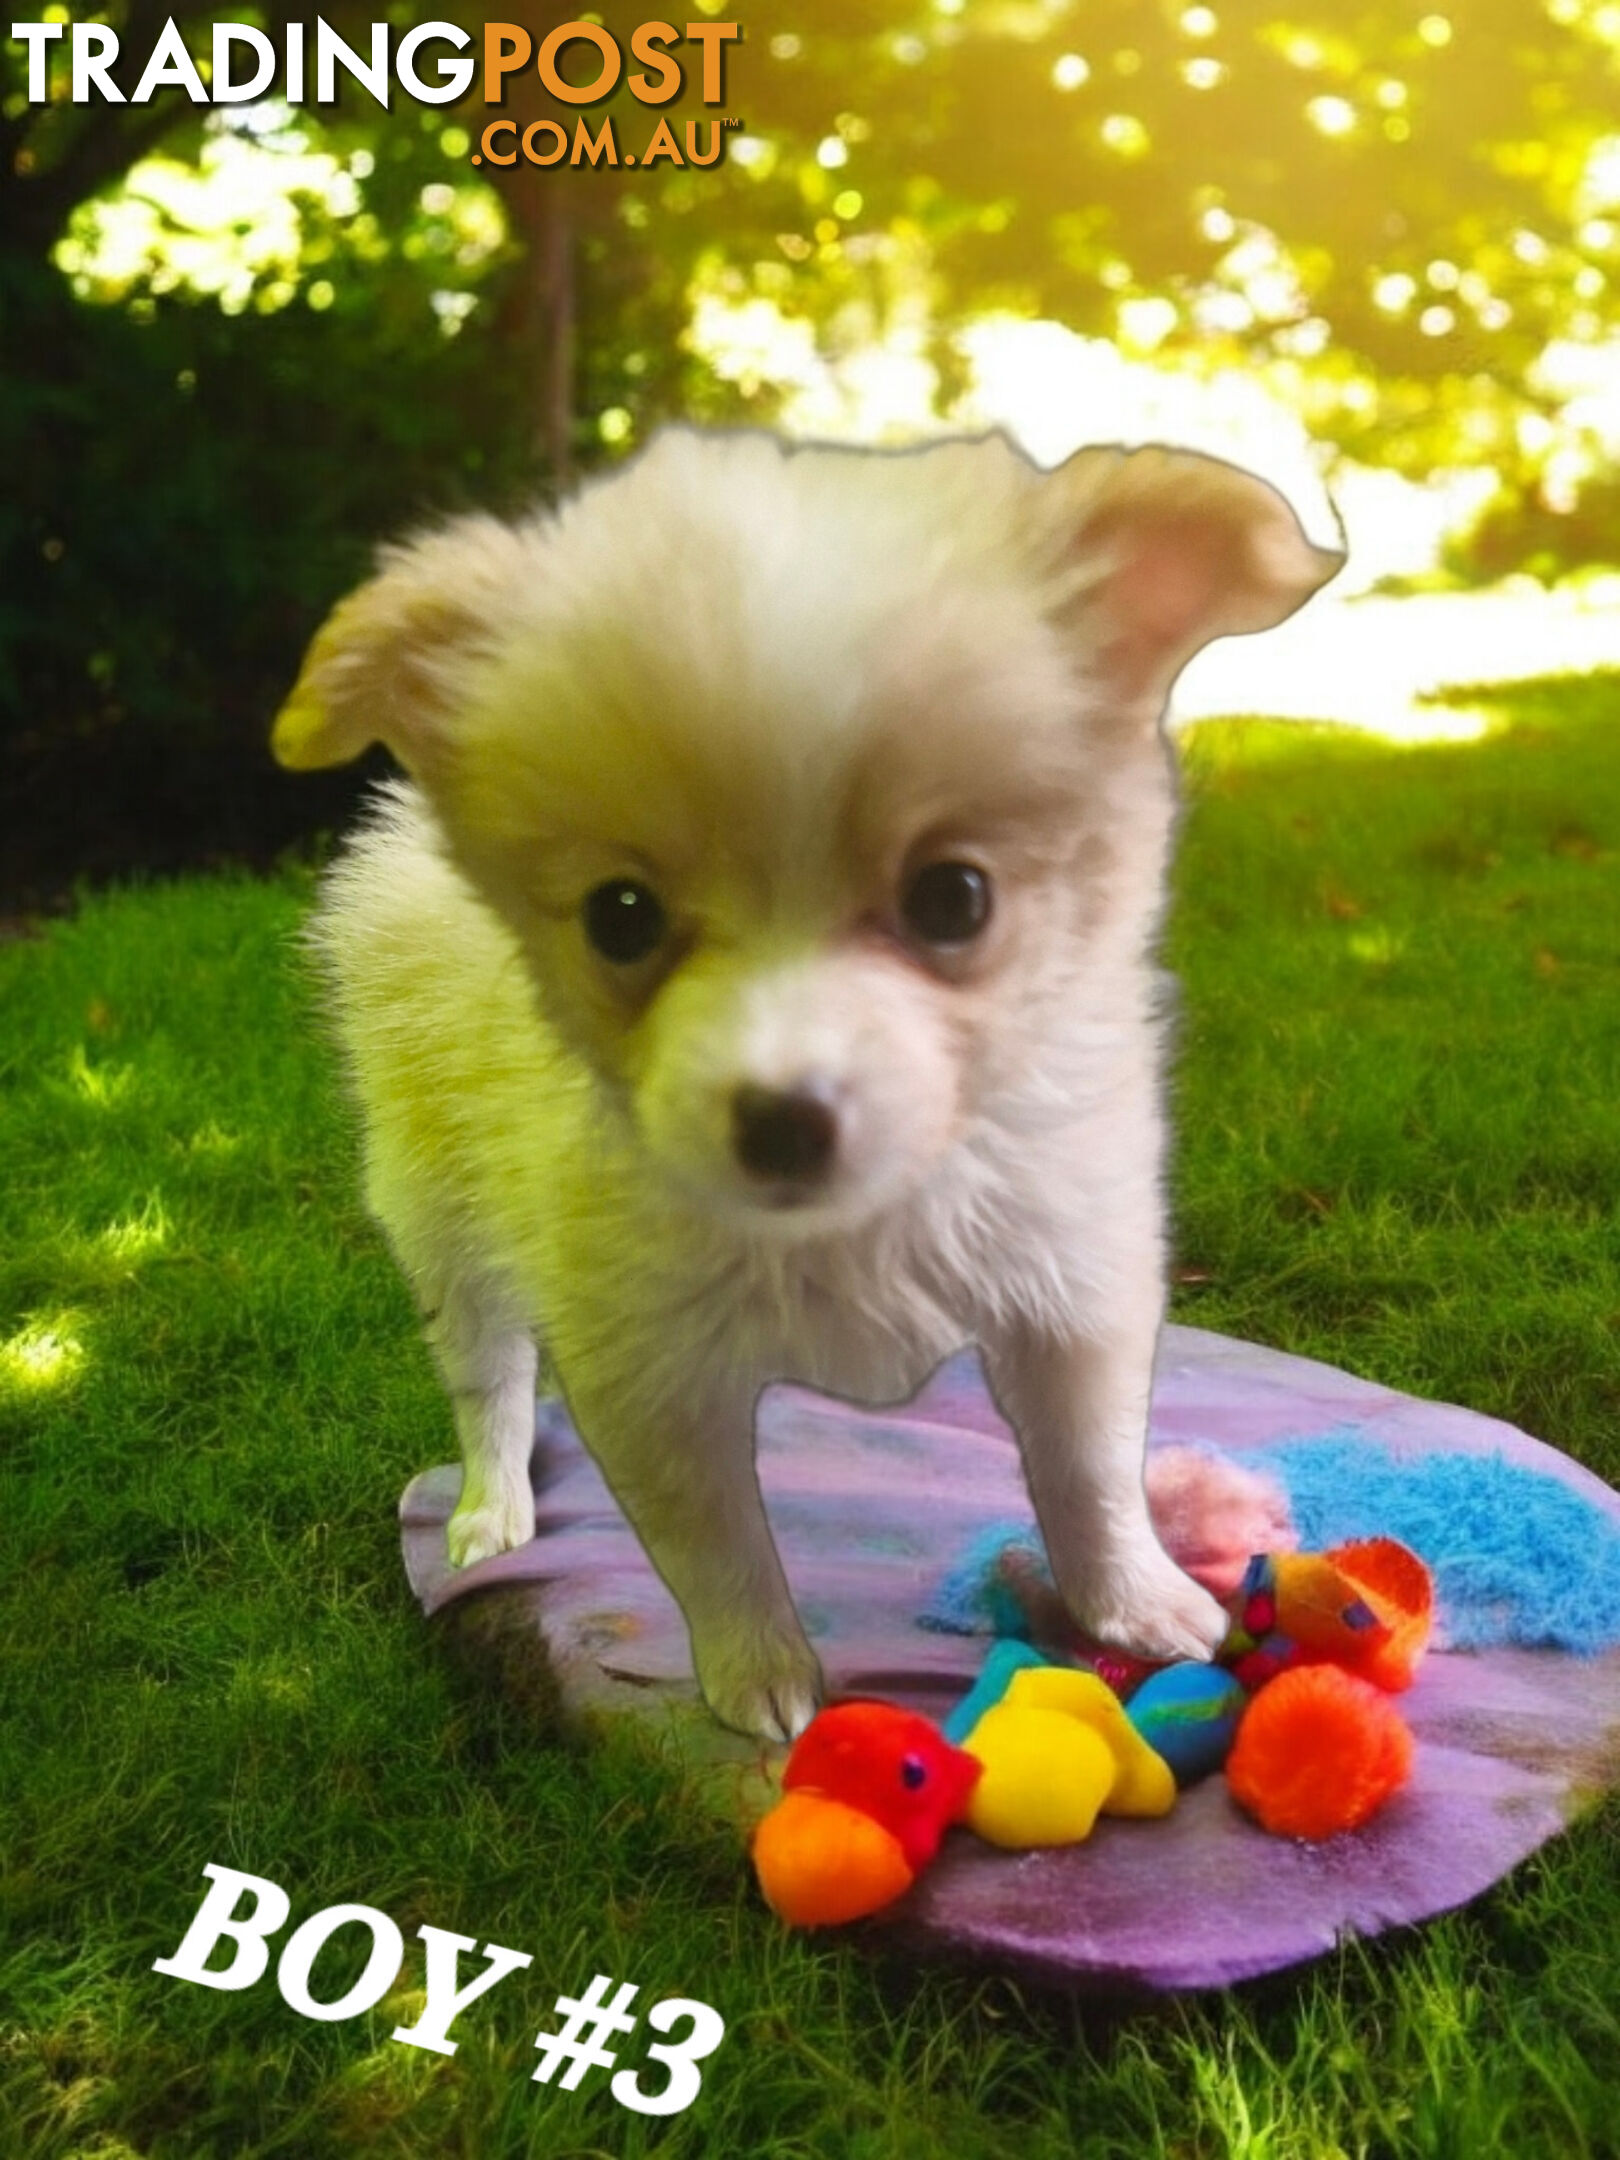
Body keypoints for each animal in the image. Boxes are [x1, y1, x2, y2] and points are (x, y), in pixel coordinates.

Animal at [276, 421, 1347, 1736]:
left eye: (955, 898)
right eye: (620, 918)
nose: (781, 1121)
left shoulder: (1073, 1279)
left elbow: (1089, 1470)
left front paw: (1137, 1606)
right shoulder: (647, 1361)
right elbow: (712, 1542)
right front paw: (762, 1680)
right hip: (439, 1205)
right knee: (488, 1369)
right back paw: (492, 1507)